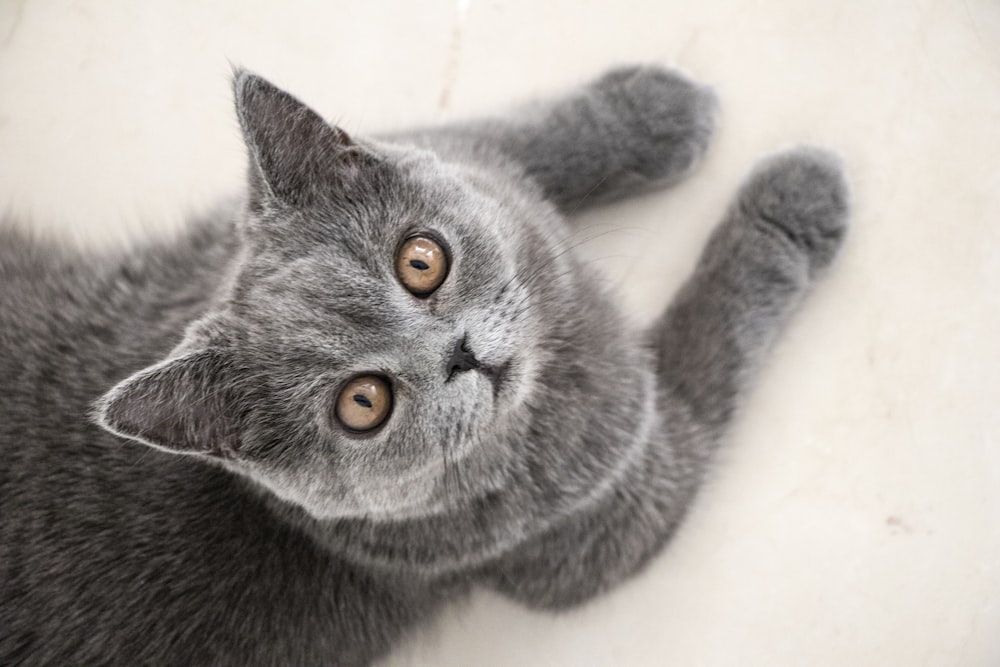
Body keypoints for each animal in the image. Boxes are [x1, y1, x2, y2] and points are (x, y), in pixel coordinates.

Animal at [0, 64, 848, 667]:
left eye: (420, 260)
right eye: (362, 403)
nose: (461, 354)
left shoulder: (214, 239)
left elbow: (491, 146)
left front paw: (655, 107)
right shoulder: (611, 506)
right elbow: (708, 345)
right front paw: (792, 203)